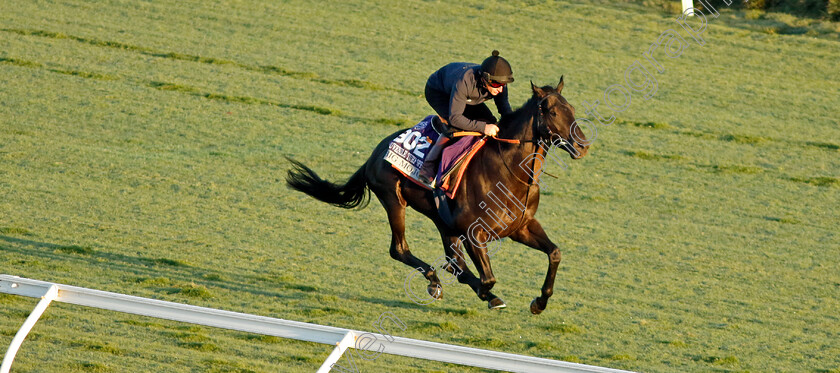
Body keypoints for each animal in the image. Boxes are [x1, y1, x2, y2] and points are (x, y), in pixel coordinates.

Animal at [288, 79, 592, 314]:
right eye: (551, 111)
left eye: (572, 109)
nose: (582, 145)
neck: (508, 172)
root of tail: (374, 154)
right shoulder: (474, 232)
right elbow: (488, 278)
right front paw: (488, 294)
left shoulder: (521, 227)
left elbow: (554, 253)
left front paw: (539, 302)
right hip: (394, 200)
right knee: (400, 249)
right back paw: (435, 282)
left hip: (441, 219)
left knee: (450, 257)